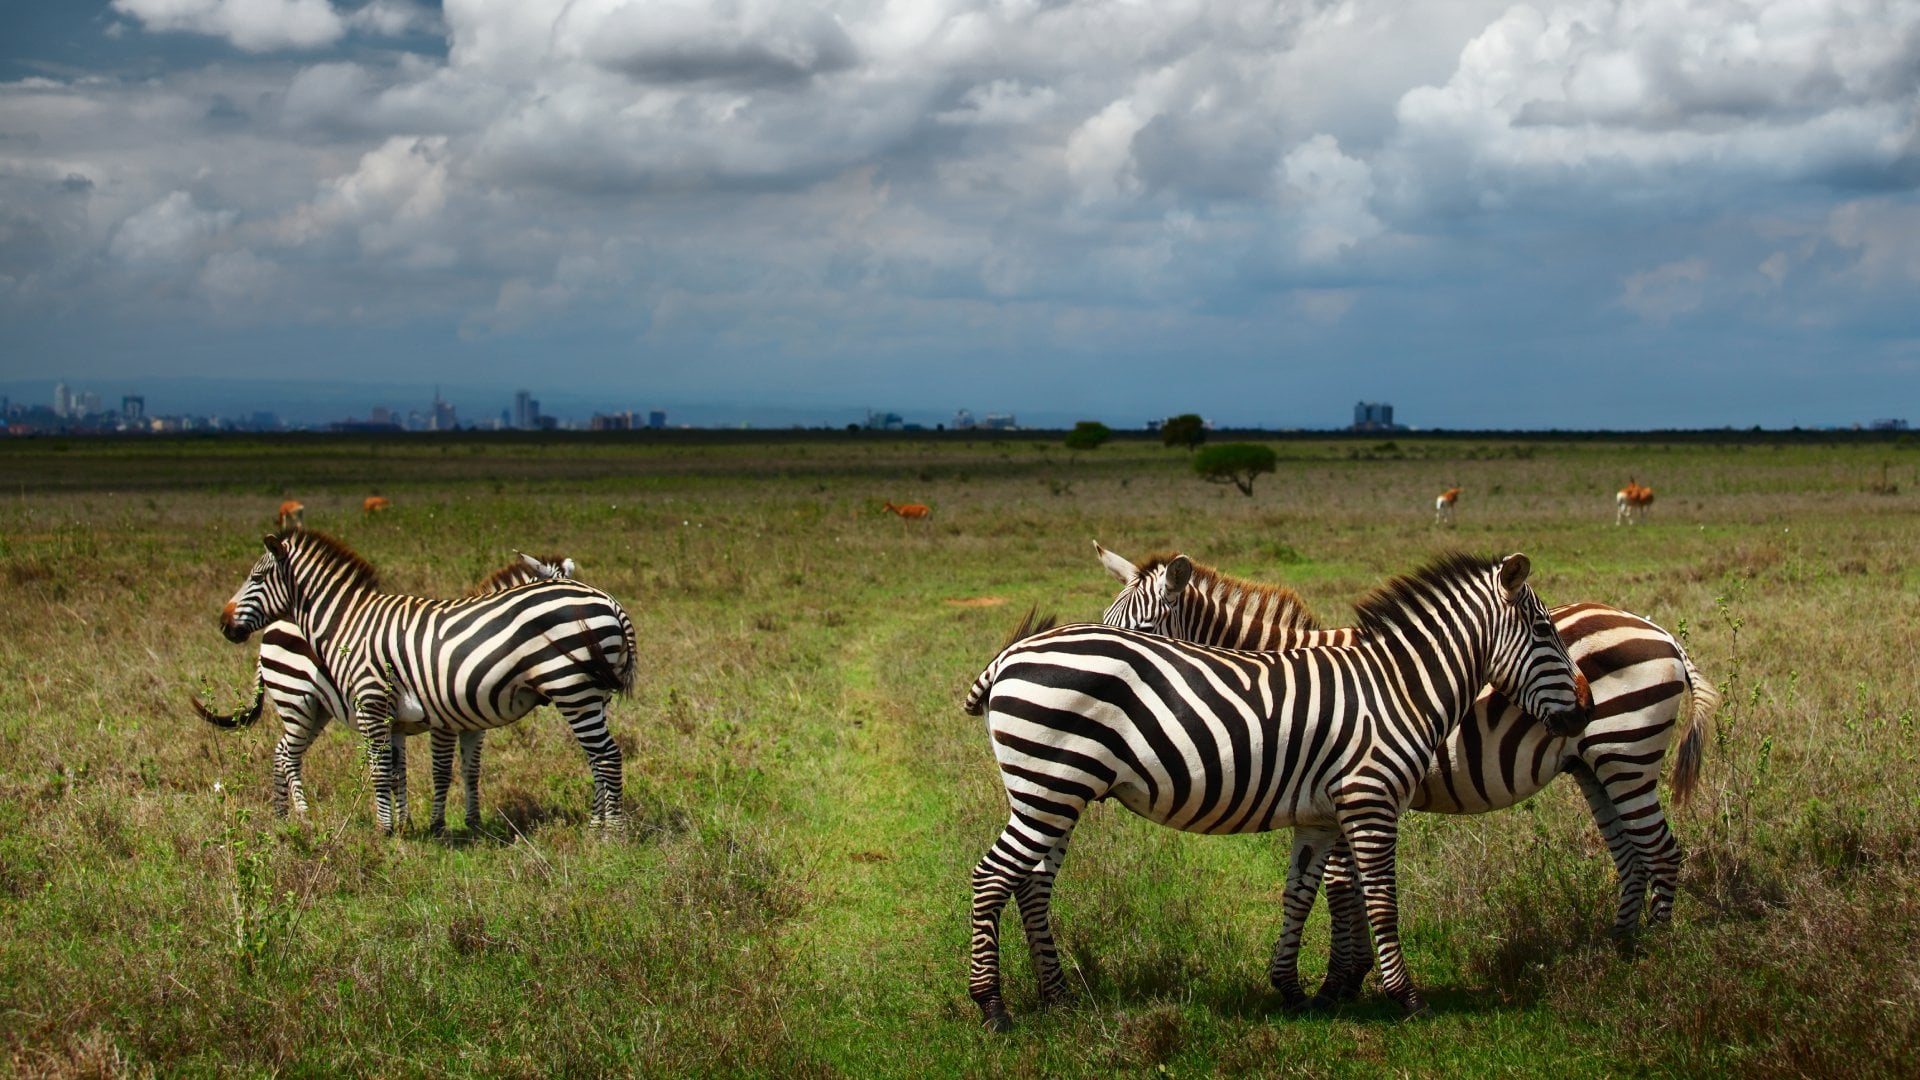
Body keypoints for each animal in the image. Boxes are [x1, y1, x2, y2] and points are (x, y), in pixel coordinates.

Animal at [218, 530, 635, 834]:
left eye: (256, 578)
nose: (224, 623)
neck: (348, 623)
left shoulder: (380, 704)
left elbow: (398, 769)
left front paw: (396, 830)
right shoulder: (441, 716)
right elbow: (433, 769)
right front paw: (428, 826)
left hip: (574, 690)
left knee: (605, 756)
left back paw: (609, 834)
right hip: (302, 703)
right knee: (284, 754)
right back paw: (287, 820)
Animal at [961, 551, 1587, 1028]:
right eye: (1544, 631)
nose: (1582, 711)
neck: (1398, 687)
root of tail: (1009, 655)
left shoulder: (1322, 815)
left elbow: (1302, 894)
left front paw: (1295, 989)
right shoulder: (1371, 800)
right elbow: (1379, 899)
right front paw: (1405, 998)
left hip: (1055, 791)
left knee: (1030, 882)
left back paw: (1058, 997)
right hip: (1050, 788)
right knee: (994, 877)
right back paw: (992, 1007)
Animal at [1094, 541, 1719, 1003]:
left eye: (1140, 633)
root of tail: (1661, 631)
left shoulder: (1347, 789)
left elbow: (1341, 887)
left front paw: (1341, 982)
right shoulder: (1340, 792)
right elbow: (1343, 886)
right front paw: (1348, 978)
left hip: (1625, 754)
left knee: (1661, 851)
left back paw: (1656, 954)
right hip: (1594, 768)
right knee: (1631, 855)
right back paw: (1622, 947)